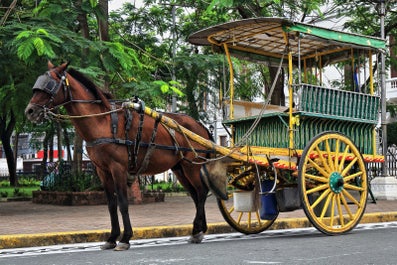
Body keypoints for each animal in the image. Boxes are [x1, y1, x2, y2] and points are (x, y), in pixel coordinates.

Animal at [25, 60, 220, 251]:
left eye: (49, 85)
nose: (30, 111)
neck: (102, 121)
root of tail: (200, 126)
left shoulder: (118, 168)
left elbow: (123, 203)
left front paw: (125, 238)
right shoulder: (102, 171)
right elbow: (111, 204)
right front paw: (112, 238)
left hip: (192, 165)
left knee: (201, 192)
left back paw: (198, 230)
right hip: (180, 168)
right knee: (195, 195)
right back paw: (197, 229)